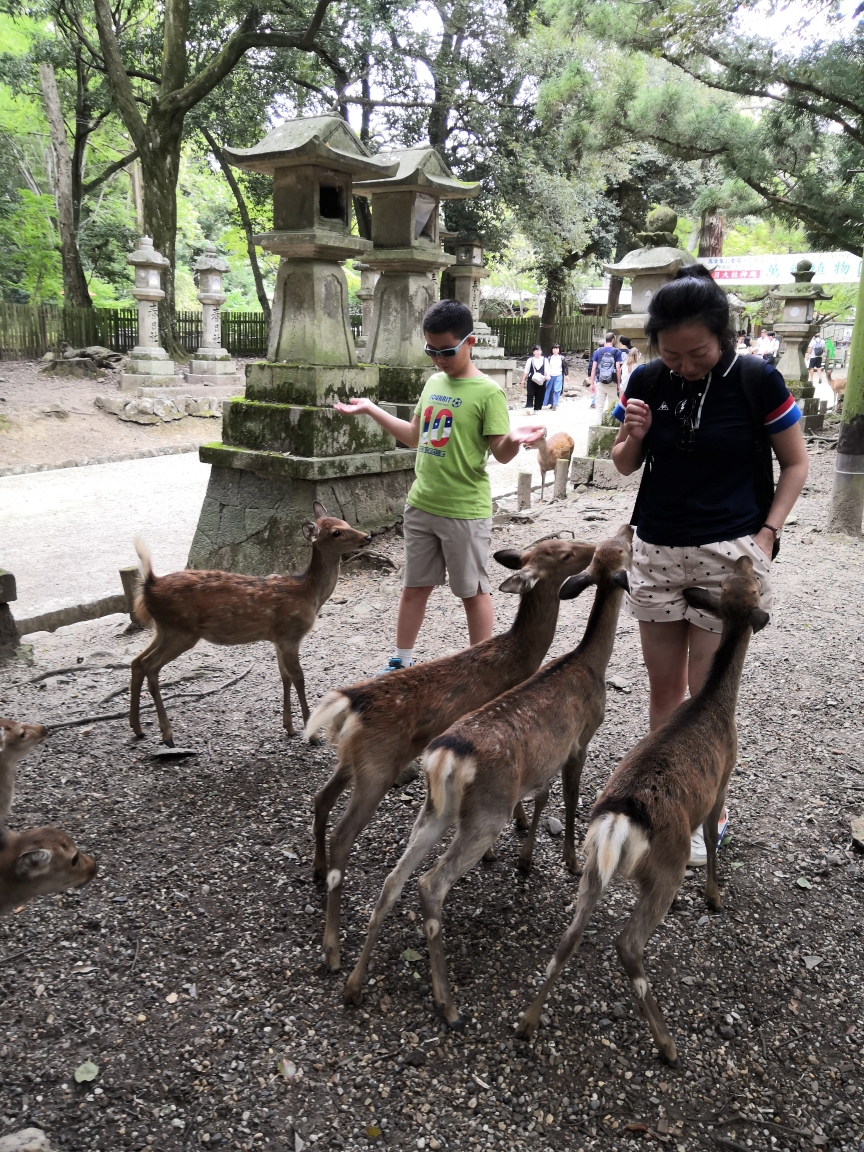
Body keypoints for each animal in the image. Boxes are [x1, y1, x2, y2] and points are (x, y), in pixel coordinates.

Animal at [131, 504, 373, 746]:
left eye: (345, 521)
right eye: (336, 532)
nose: (367, 536)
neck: (309, 594)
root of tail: (150, 585)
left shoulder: (278, 638)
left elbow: (284, 676)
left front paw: (289, 727)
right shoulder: (290, 634)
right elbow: (299, 678)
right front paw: (312, 735)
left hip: (164, 629)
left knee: (137, 662)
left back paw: (138, 729)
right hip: (181, 631)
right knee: (150, 666)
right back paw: (167, 735)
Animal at [301, 532, 594, 972]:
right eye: (563, 554)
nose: (592, 549)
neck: (521, 656)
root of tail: (348, 704)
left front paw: (512, 831)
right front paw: (505, 837)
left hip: (352, 760)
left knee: (320, 798)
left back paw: (318, 871)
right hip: (376, 768)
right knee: (343, 834)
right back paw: (333, 948)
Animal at [343, 527, 635, 1022]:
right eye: (625, 551)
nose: (629, 529)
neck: (587, 664)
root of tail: (446, 757)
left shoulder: (544, 760)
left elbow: (542, 798)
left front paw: (526, 857)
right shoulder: (579, 741)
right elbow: (571, 800)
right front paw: (569, 861)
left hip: (436, 811)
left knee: (392, 880)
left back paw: (354, 984)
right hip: (483, 813)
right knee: (429, 883)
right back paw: (448, 1004)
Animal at [513, 555, 769, 1059]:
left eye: (738, 580)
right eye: (752, 583)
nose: (747, 556)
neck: (716, 704)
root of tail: (619, 819)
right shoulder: (723, 779)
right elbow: (713, 841)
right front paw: (714, 897)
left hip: (595, 861)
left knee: (570, 934)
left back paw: (527, 1023)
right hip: (663, 867)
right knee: (628, 943)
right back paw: (667, 1044)